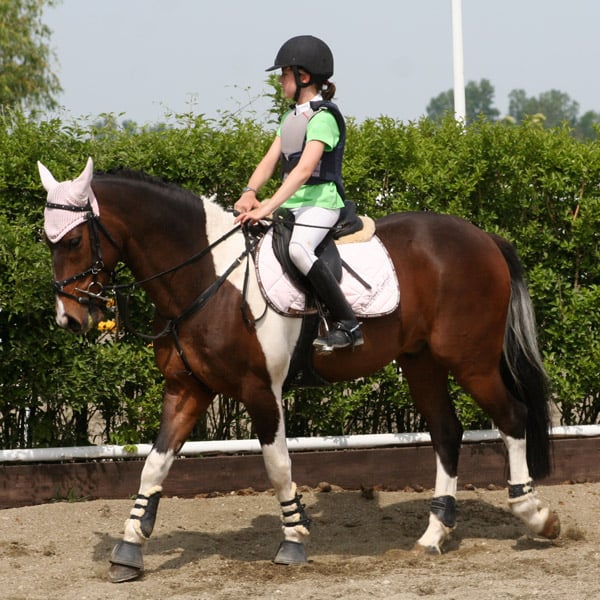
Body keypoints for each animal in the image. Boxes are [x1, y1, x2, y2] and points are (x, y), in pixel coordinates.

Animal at [39, 156, 560, 580]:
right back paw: (433, 536)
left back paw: (536, 515)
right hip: (423, 363)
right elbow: (154, 465)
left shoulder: (260, 391)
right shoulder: (187, 389)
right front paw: (129, 549)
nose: (70, 318)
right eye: (48, 241)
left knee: (511, 416)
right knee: (447, 433)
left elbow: (276, 465)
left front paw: (293, 540)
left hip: (469, 361)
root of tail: (483, 236)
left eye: (76, 238)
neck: (207, 276)